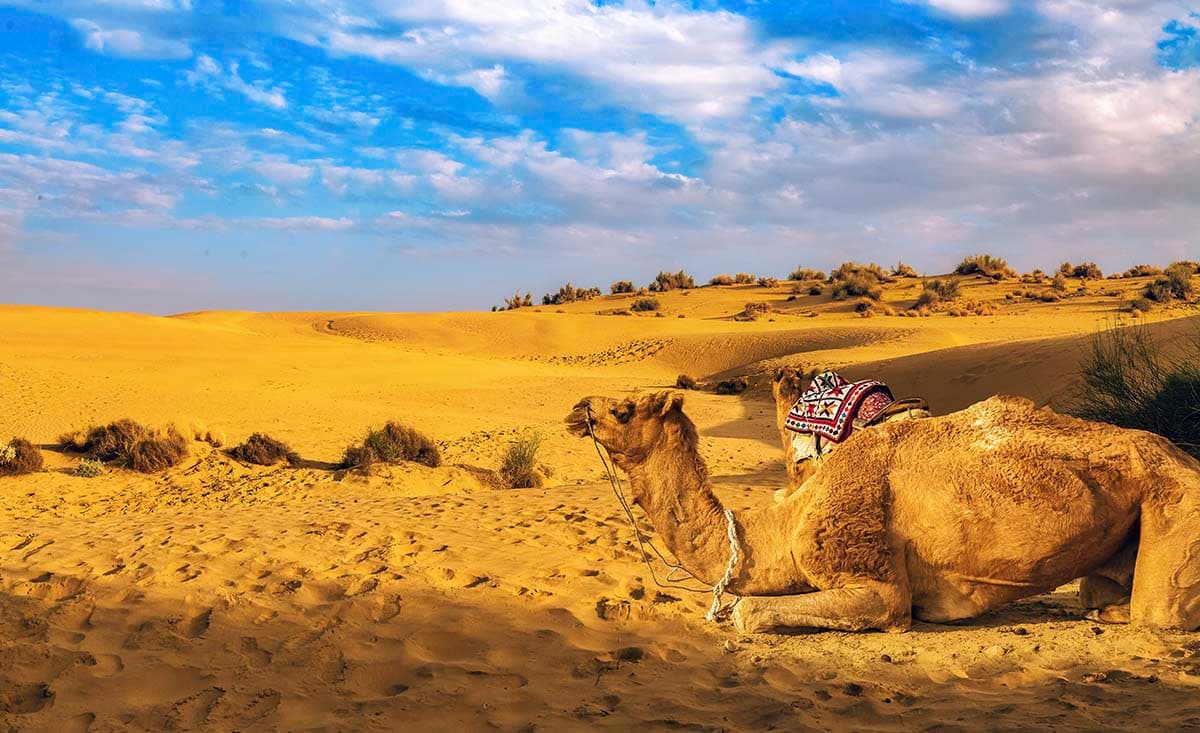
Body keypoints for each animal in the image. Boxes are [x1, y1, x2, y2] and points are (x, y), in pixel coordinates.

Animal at [566, 390, 1200, 633]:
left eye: (623, 410)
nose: (578, 409)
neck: (780, 527)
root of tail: (1181, 455)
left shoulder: (873, 578)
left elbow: (747, 611)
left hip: (1178, 506)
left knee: (1157, 612)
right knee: (1100, 592)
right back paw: (1104, 610)